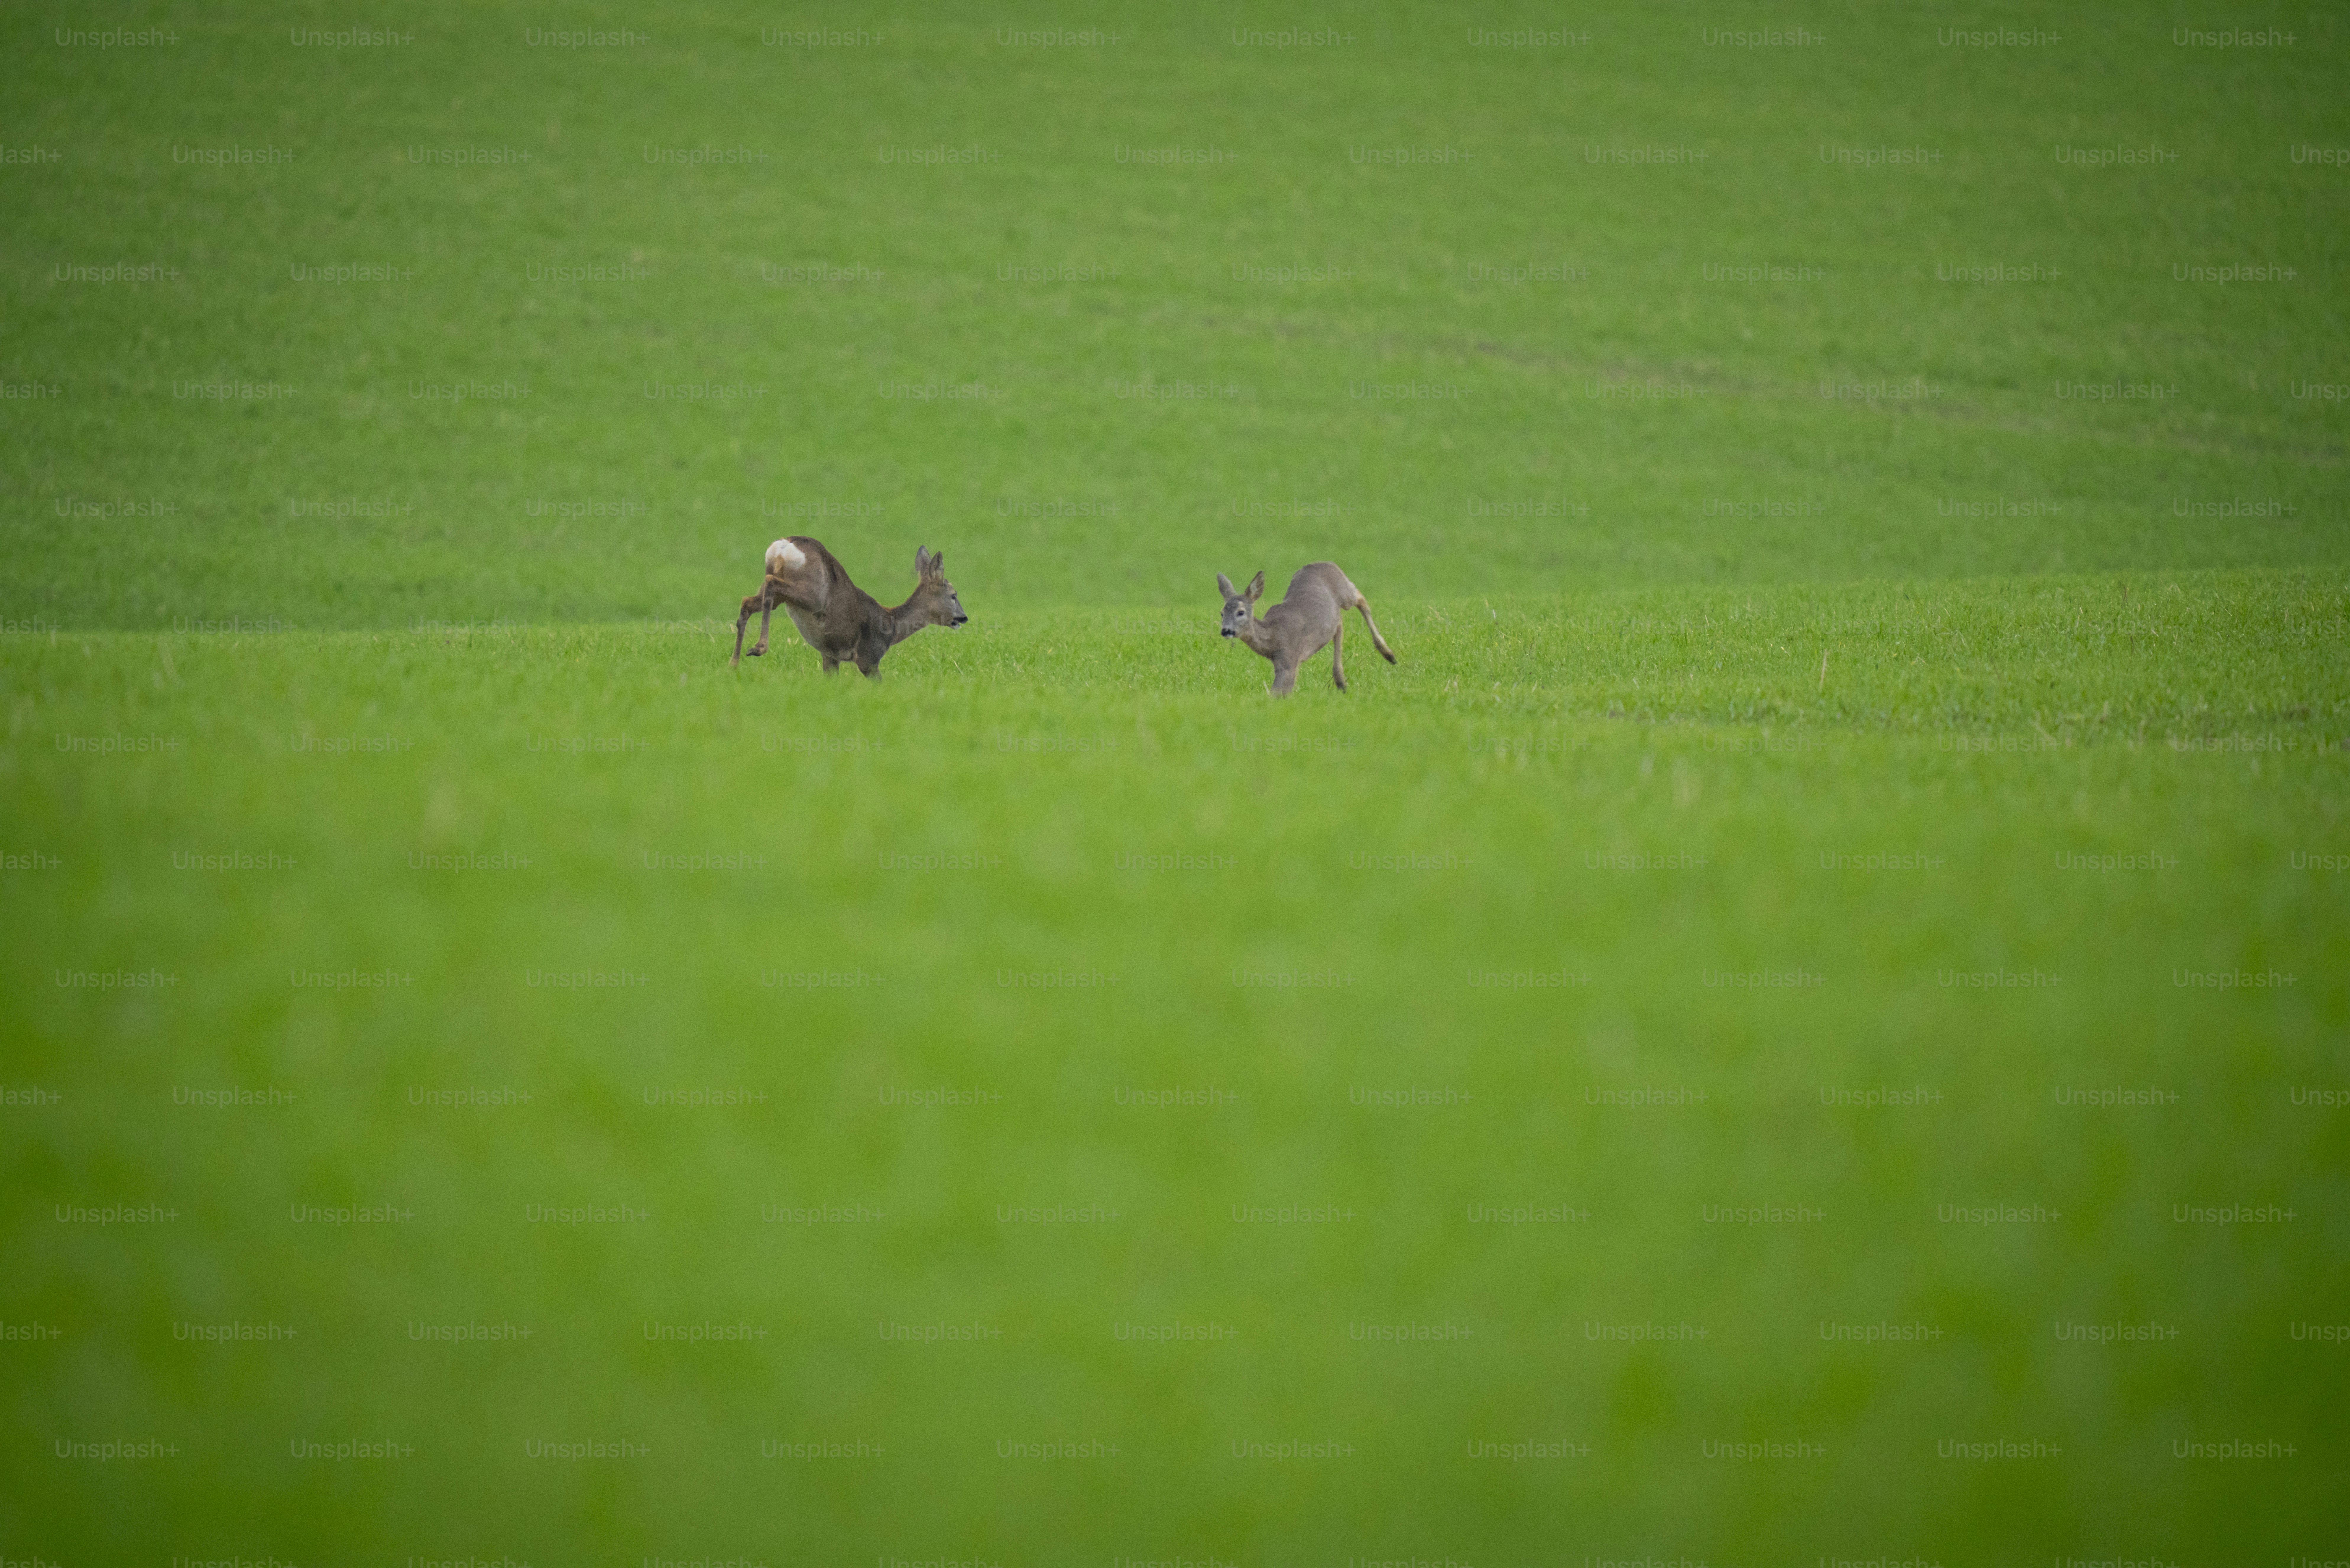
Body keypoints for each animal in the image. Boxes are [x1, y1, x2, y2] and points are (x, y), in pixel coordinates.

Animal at [732, 538, 967, 675]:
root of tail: (784, 545)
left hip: (780, 588)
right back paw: (758, 648)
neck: (891, 626)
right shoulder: (869, 657)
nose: (963, 618)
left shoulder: (830, 658)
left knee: (748, 600)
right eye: (954, 596)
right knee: (771, 584)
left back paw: (733, 664)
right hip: (813, 593)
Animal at [1217, 563, 1396, 697]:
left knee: (1360, 598)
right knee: (1339, 624)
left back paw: (1389, 655)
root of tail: (1327, 563)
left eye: (1241, 612)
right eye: (1222, 613)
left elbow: (1276, 695)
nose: (1226, 631)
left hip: (1345, 592)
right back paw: (1341, 682)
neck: (1273, 636)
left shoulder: (1289, 660)